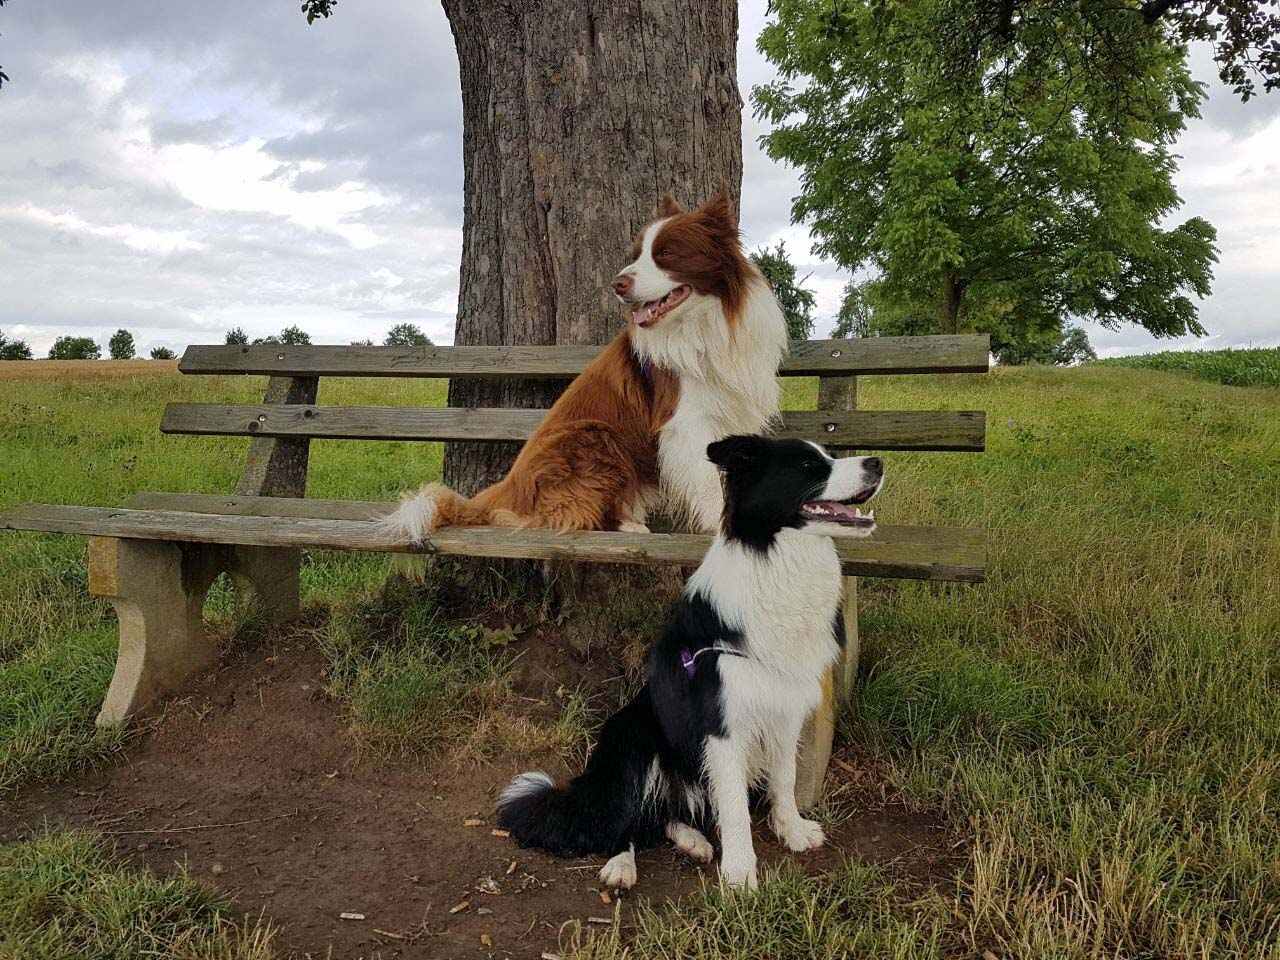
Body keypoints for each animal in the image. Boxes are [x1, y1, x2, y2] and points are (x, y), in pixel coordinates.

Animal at [373, 192, 783, 545]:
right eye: (637, 255)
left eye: (666, 253)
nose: (617, 284)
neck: (707, 323)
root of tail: (504, 492)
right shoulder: (685, 421)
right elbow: (708, 485)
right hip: (594, 434)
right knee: (573, 513)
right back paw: (628, 525)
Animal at [496, 440, 880, 890]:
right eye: (807, 465)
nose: (877, 462)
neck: (775, 558)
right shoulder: (723, 726)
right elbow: (735, 808)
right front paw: (740, 877)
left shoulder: (784, 710)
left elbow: (784, 779)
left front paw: (793, 831)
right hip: (633, 739)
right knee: (625, 821)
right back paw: (621, 866)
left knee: (661, 817)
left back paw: (692, 840)